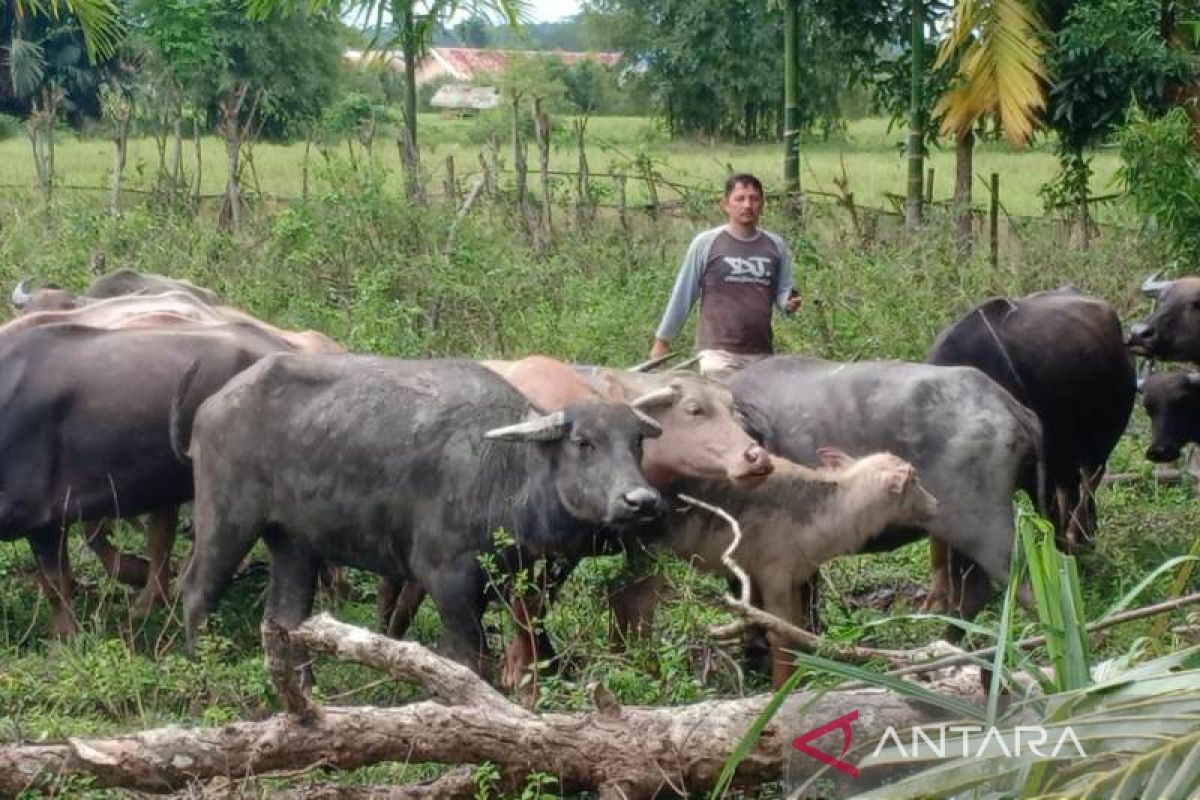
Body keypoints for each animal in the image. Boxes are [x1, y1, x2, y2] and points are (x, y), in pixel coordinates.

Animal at [177, 352, 667, 671]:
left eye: (637, 442)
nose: (641, 501)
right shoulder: (449, 582)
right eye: (583, 442)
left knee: (284, 621)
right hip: (226, 521)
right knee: (197, 590)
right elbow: (468, 662)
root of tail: (213, 404)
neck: (505, 473)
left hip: (295, 544)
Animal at [609, 453, 936, 686]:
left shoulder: (791, 579)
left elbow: (796, 629)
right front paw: (779, 689)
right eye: (915, 479)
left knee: (618, 595)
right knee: (639, 608)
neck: (831, 511)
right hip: (652, 553)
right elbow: (780, 636)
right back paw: (643, 666)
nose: (936, 503)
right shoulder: (773, 575)